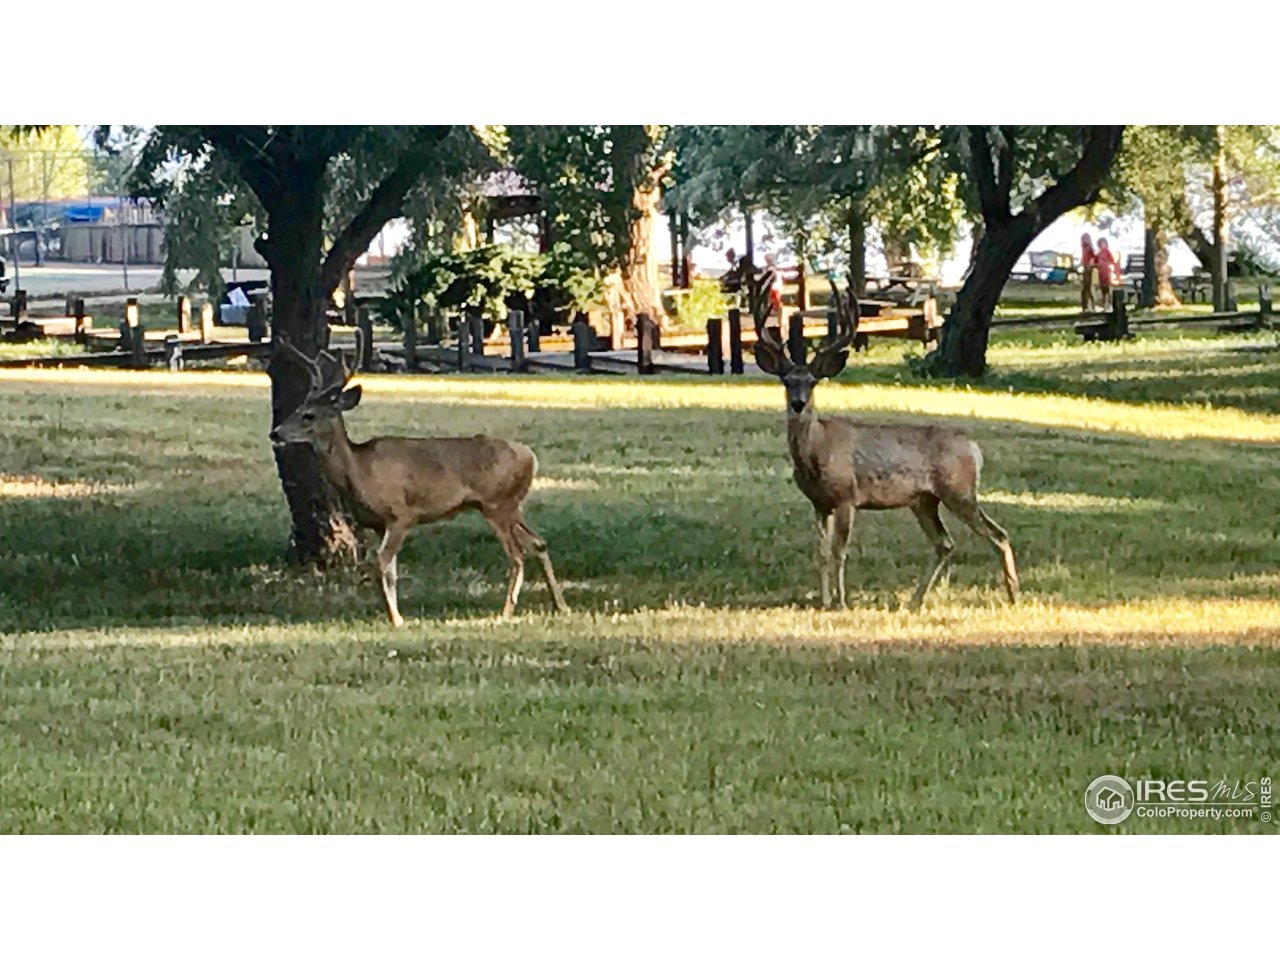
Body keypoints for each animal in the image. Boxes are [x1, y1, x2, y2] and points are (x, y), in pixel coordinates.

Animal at [269, 333, 569, 626]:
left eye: (308, 415)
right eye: (297, 408)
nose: (275, 433)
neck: (359, 471)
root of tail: (531, 458)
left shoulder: (402, 514)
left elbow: (381, 564)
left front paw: (396, 619)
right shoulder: (379, 524)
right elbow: (390, 571)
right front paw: (394, 614)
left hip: (496, 503)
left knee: (517, 555)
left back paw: (505, 613)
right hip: (510, 505)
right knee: (539, 543)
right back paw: (561, 606)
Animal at [752, 283, 1019, 611]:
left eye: (813, 381)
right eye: (786, 381)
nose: (798, 404)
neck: (817, 452)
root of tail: (974, 449)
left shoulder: (847, 496)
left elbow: (840, 551)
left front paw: (842, 602)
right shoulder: (819, 503)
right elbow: (822, 551)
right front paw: (824, 601)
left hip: (959, 491)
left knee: (998, 535)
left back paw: (1014, 595)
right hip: (925, 500)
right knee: (945, 543)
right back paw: (914, 601)